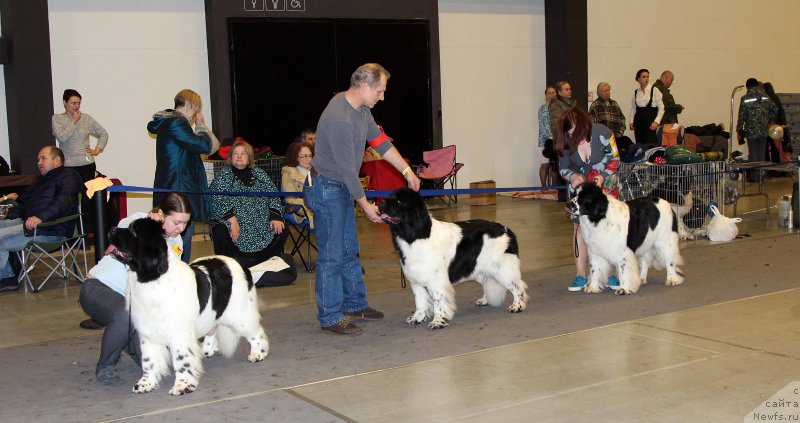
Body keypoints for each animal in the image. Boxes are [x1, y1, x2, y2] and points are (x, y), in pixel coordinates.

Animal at [106, 219, 270, 398]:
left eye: (134, 232)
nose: (111, 229)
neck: (153, 278)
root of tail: (240, 264)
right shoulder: (148, 332)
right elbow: (148, 361)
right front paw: (145, 384)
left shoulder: (179, 333)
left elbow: (181, 360)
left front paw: (182, 386)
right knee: (213, 329)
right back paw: (207, 350)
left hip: (239, 314)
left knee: (256, 331)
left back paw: (258, 353)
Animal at [378, 187, 528, 330]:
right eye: (390, 197)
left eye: (399, 201)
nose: (380, 202)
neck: (416, 236)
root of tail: (507, 230)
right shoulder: (417, 280)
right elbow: (420, 301)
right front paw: (417, 318)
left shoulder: (436, 280)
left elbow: (439, 301)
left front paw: (438, 321)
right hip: (478, 267)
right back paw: (485, 300)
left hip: (502, 268)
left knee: (518, 286)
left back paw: (517, 306)